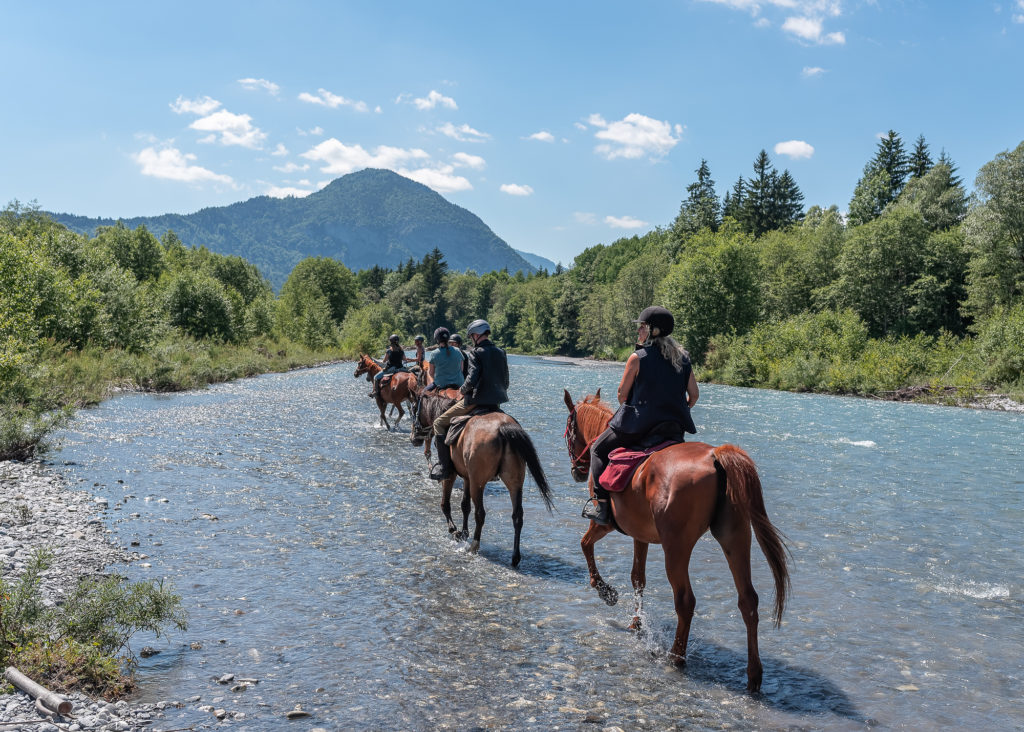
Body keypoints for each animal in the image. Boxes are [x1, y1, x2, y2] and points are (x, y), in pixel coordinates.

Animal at [409, 393, 557, 569]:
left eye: (413, 410)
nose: (413, 439)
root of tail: (503, 427)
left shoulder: (452, 475)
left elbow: (446, 504)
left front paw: (455, 531)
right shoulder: (467, 477)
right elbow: (465, 506)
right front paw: (464, 533)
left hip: (478, 483)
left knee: (480, 513)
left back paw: (474, 546)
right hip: (513, 484)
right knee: (517, 516)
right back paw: (515, 557)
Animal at [561, 389, 790, 692]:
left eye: (569, 431)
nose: (577, 470)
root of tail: (716, 456)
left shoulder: (604, 523)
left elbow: (585, 544)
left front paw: (605, 591)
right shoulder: (640, 535)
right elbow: (638, 578)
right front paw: (636, 623)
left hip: (677, 547)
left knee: (685, 600)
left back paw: (676, 656)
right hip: (735, 537)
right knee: (748, 601)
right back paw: (754, 676)